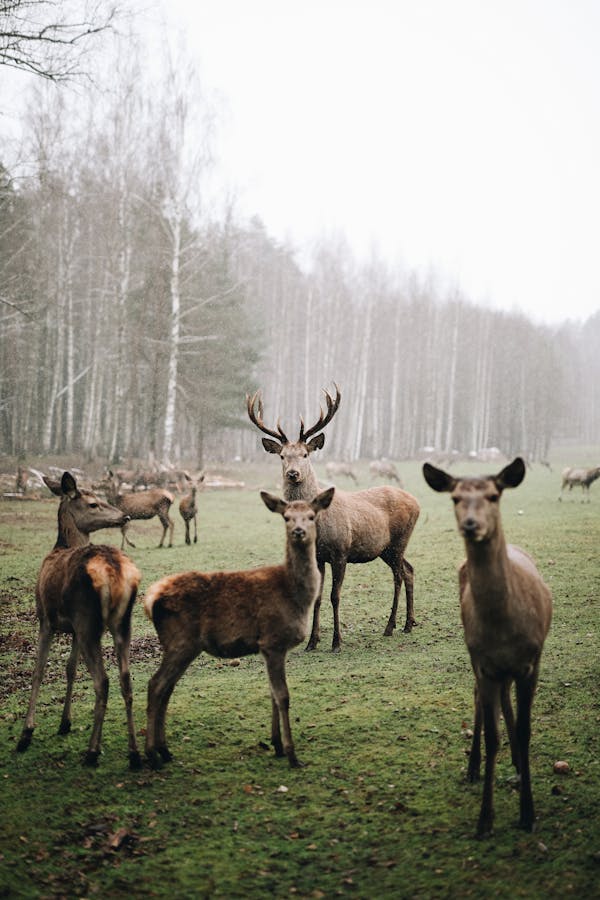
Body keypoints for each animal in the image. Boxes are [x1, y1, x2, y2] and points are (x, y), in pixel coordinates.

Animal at [15, 472, 142, 768]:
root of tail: (113, 571)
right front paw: (65, 723)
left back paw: (92, 751)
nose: (125, 516)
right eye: (93, 503)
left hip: (88, 620)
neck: (61, 546)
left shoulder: (46, 619)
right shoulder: (71, 629)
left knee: (103, 681)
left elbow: (38, 671)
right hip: (121, 622)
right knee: (126, 679)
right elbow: (70, 669)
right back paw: (134, 754)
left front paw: (26, 733)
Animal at [143, 486, 336, 768]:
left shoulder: (270, 648)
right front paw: (292, 754)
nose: (298, 531)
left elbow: (272, 694)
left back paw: (164, 751)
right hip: (180, 641)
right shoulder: (273, 640)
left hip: (183, 646)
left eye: (311, 516)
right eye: (286, 517)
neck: (295, 595)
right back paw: (150, 755)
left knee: (166, 688)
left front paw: (276, 745)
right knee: (155, 685)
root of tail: (151, 599)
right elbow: (283, 696)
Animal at [246, 384, 420, 652]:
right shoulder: (318, 557)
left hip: (399, 540)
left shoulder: (341, 552)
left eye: (305, 454)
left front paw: (337, 642)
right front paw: (312, 642)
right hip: (386, 549)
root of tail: (417, 502)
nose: (292, 473)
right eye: (282, 456)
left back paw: (390, 626)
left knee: (399, 575)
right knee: (409, 570)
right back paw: (408, 624)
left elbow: (334, 596)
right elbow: (316, 597)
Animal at [422, 458, 552, 836]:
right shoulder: (483, 661)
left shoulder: (531, 660)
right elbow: (493, 734)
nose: (470, 525)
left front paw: (528, 814)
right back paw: (474, 767)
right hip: (478, 659)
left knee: (504, 700)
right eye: (454, 498)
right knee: (480, 697)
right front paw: (485, 820)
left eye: (494, 495)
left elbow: (524, 730)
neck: (503, 627)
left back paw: (517, 763)